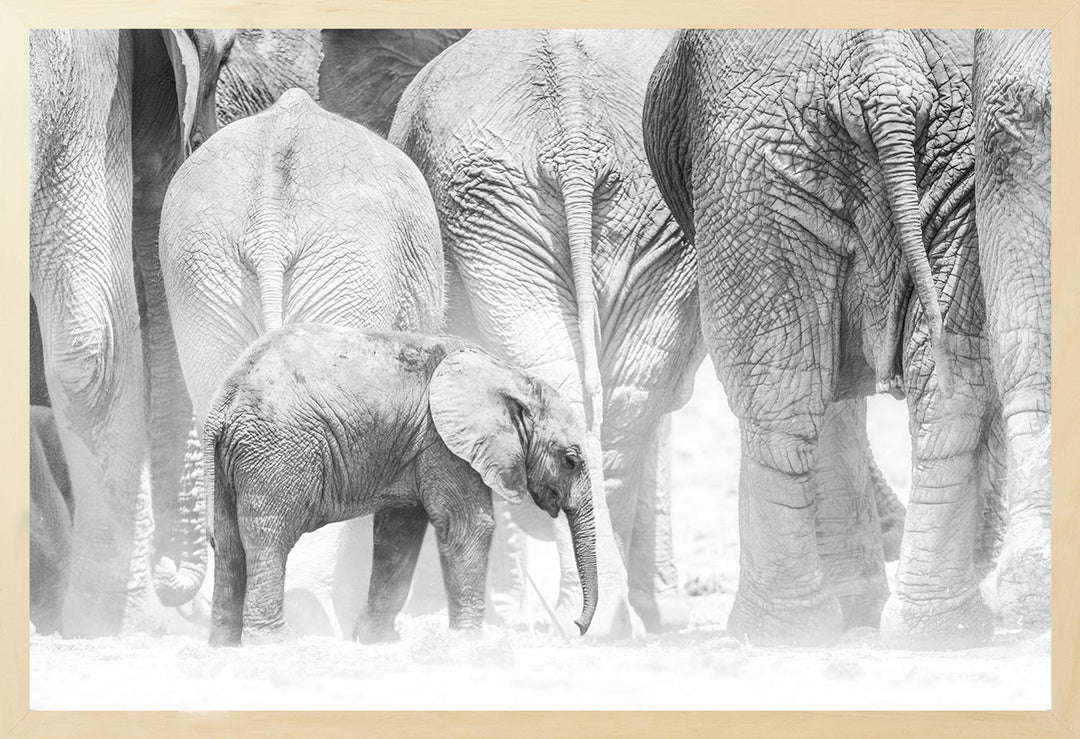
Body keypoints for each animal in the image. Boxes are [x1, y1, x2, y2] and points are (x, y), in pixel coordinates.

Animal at [204, 326, 598, 646]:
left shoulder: (418, 445)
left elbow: (399, 533)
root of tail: (222, 406)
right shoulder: (443, 443)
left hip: (232, 461)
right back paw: (278, 643)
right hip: (277, 451)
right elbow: (469, 525)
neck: (510, 375)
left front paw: (377, 641)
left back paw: (225, 647)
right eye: (570, 460)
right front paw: (471, 645)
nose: (577, 627)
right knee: (269, 537)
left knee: (228, 544)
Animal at [645, 29, 993, 649]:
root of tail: (884, 70)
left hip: (749, 173)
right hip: (924, 164)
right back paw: (938, 634)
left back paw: (776, 633)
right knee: (940, 392)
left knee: (779, 396)